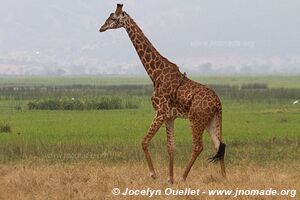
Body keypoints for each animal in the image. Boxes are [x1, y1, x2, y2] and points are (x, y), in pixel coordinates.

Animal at [99, 3, 226, 184]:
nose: (101, 28)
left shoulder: (160, 112)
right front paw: (169, 179)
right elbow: (170, 147)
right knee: (219, 144)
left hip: (196, 118)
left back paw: (183, 176)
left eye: (113, 18)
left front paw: (154, 174)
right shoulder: (169, 116)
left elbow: (144, 141)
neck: (155, 74)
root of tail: (218, 102)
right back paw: (224, 177)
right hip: (211, 120)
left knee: (198, 146)